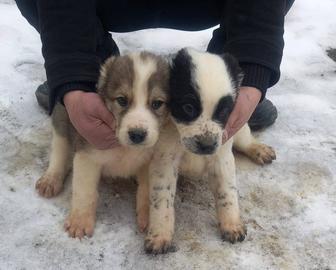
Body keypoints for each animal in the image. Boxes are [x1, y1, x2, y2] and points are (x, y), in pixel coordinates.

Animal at [36, 51, 171, 237]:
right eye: (122, 100)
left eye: (157, 103)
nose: (137, 135)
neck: (126, 149)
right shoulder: (87, 154)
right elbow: (84, 192)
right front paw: (80, 221)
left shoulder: (151, 160)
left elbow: (147, 191)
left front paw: (151, 217)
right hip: (62, 116)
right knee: (59, 149)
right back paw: (51, 179)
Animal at [144, 48, 276, 253]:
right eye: (188, 107)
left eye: (223, 112)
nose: (206, 145)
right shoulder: (163, 162)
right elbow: (162, 198)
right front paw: (159, 235)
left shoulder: (222, 156)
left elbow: (227, 193)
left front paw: (232, 224)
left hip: (239, 129)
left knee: (246, 140)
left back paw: (259, 150)